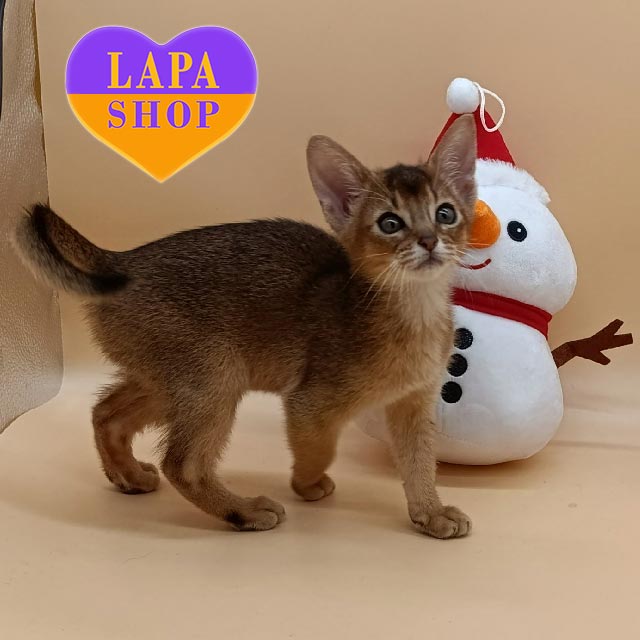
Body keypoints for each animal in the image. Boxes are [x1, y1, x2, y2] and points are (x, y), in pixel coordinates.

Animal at [15, 114, 477, 538]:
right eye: (390, 223)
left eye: (445, 213)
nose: (430, 240)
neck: (415, 313)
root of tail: (123, 261)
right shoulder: (309, 403)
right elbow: (319, 449)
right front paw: (307, 485)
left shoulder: (413, 404)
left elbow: (420, 465)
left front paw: (430, 513)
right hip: (214, 376)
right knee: (182, 464)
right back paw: (243, 511)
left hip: (167, 379)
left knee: (105, 412)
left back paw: (128, 476)